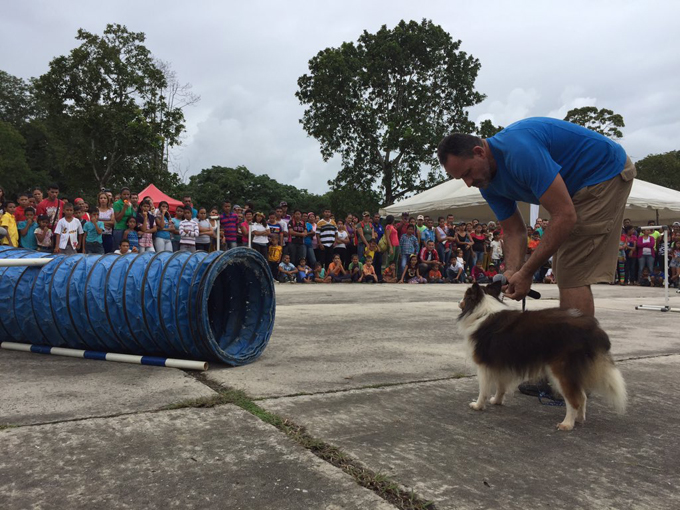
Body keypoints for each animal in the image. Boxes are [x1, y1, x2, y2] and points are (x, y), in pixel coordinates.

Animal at [456, 278, 628, 430]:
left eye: (464, 297)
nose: (459, 302)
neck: (482, 312)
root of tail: (594, 329)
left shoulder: (483, 365)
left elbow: (483, 389)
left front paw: (478, 405)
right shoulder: (501, 363)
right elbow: (501, 386)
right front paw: (496, 401)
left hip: (560, 370)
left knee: (574, 399)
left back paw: (567, 424)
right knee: (582, 396)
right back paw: (579, 419)